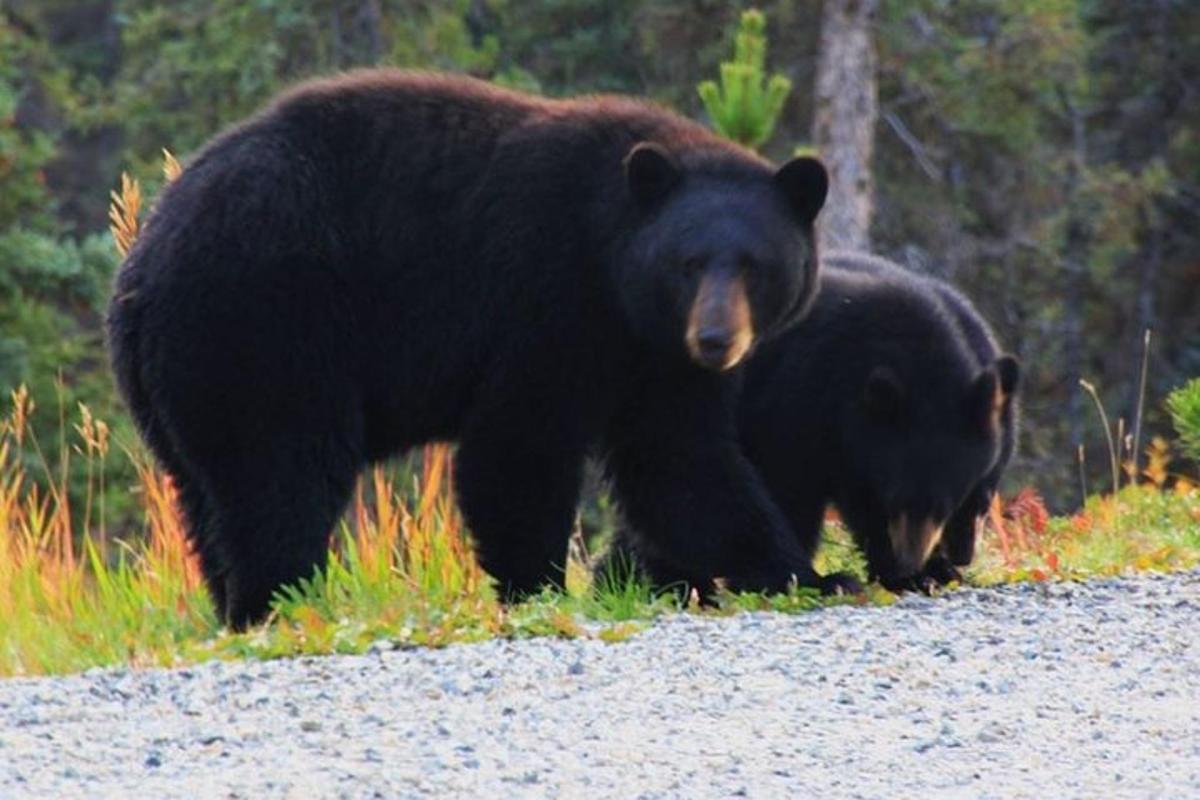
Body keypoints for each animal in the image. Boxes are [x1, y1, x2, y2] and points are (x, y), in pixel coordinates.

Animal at [112, 71, 840, 628]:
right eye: (688, 264)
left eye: (755, 266)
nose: (716, 340)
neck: (613, 269)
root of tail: (142, 263)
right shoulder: (545, 295)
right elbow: (519, 446)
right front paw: (539, 588)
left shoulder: (655, 361)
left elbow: (681, 461)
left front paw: (807, 574)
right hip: (263, 326)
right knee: (280, 475)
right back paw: (282, 603)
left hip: (183, 379)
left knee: (210, 496)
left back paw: (239, 608)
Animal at [604, 250, 1017, 594]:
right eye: (900, 498)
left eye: (970, 500)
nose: (910, 558)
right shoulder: (801, 393)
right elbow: (786, 484)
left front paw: (926, 572)